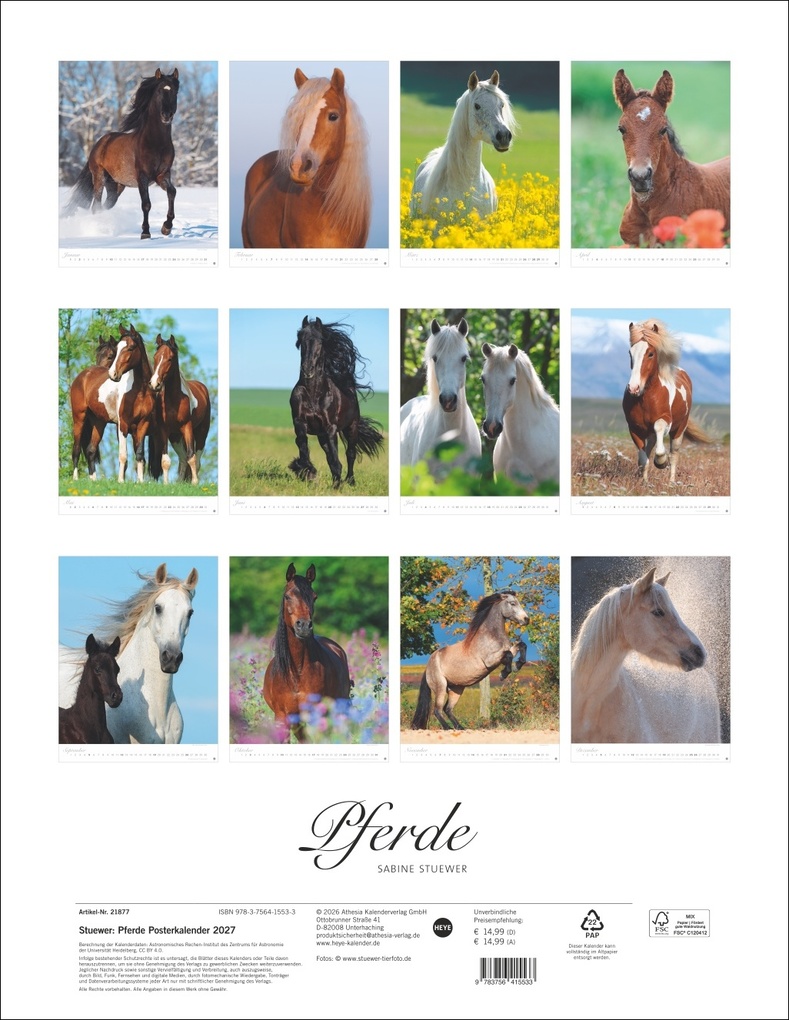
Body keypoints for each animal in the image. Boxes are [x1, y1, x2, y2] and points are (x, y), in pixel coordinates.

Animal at [66, 68, 180, 240]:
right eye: (160, 91)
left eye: (175, 91)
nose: (166, 115)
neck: (156, 143)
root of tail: (99, 144)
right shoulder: (142, 177)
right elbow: (146, 204)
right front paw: (145, 233)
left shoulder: (162, 175)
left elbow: (172, 192)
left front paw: (166, 227)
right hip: (99, 178)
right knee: (96, 206)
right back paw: (98, 230)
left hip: (116, 186)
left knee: (105, 206)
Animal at [148, 335, 211, 485]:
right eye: (155, 357)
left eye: (170, 358)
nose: (154, 384)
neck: (173, 400)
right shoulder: (164, 431)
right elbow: (165, 460)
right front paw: (166, 484)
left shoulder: (187, 427)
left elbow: (191, 457)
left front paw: (194, 483)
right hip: (175, 437)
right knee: (182, 459)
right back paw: (179, 482)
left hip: (201, 433)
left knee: (196, 459)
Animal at [288, 316, 384, 488]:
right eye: (301, 341)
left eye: (320, 342)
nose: (307, 369)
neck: (313, 394)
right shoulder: (300, 423)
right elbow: (303, 447)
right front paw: (306, 471)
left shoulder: (330, 427)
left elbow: (335, 458)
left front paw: (336, 484)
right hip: (322, 436)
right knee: (329, 454)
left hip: (351, 428)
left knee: (350, 454)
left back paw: (350, 480)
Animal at [412, 591, 529, 731]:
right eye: (512, 603)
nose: (526, 619)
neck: (490, 636)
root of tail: (428, 667)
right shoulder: (490, 660)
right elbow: (508, 655)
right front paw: (504, 674)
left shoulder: (505, 651)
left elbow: (521, 646)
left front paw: (518, 665)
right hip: (441, 687)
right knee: (437, 710)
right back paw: (448, 728)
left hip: (456, 689)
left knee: (448, 709)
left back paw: (460, 728)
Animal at [623, 319, 711, 484]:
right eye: (630, 353)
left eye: (650, 353)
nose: (633, 388)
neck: (646, 398)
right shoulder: (634, 428)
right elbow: (643, 457)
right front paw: (644, 481)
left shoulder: (665, 420)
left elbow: (660, 443)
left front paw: (661, 462)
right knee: (649, 449)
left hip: (679, 430)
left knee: (674, 454)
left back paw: (671, 482)